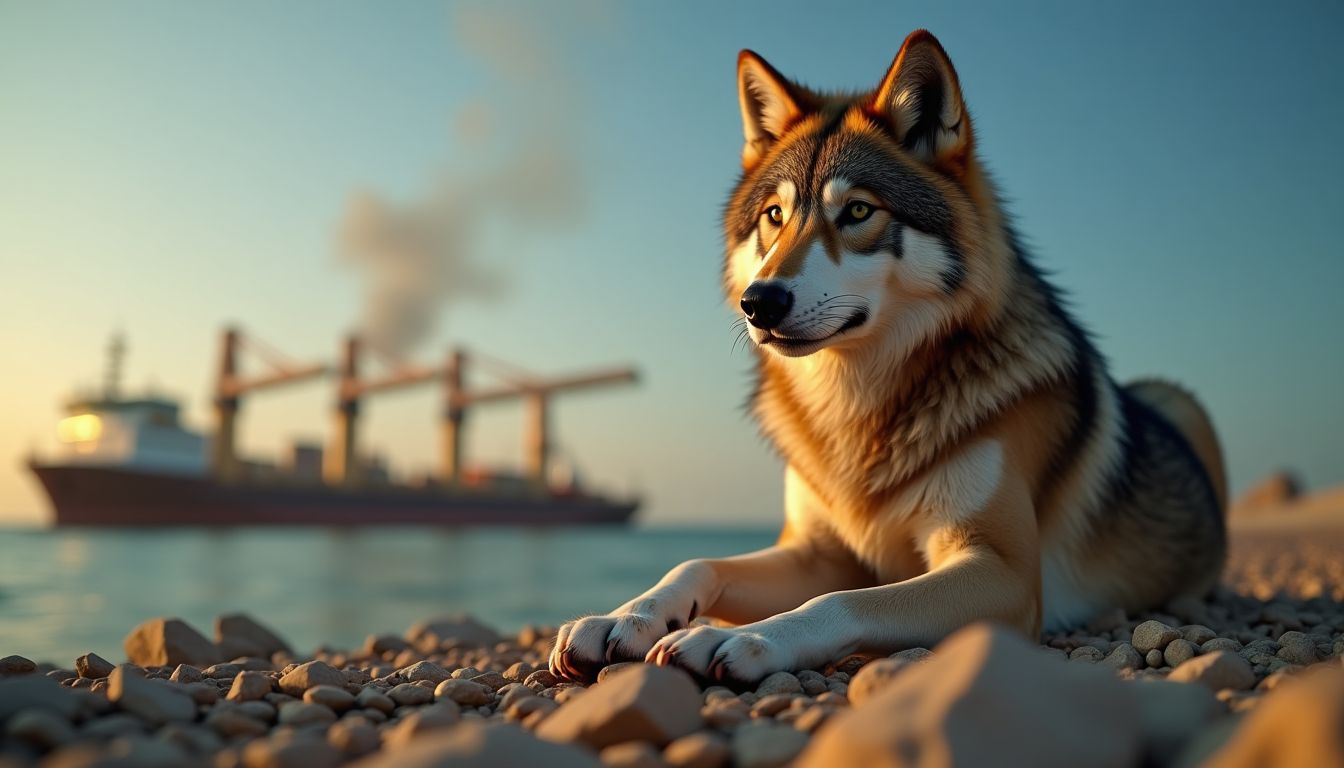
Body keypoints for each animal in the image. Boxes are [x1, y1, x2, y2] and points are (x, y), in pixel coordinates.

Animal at [550, 30, 1227, 686]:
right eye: (775, 215)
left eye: (857, 211)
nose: (758, 302)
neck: (858, 403)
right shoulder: (817, 553)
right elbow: (694, 562)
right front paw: (626, 617)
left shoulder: (1003, 571)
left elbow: (842, 602)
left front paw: (744, 639)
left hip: (1177, 399)